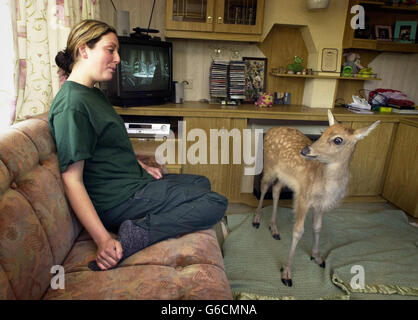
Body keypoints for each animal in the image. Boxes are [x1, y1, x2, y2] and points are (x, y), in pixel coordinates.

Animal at [253, 110, 380, 288]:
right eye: (323, 132)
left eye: (338, 139)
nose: (305, 150)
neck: (326, 185)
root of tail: (271, 130)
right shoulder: (304, 197)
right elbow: (298, 231)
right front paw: (286, 273)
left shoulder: (320, 205)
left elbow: (317, 227)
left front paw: (317, 257)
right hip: (269, 166)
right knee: (265, 187)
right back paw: (257, 220)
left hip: (285, 177)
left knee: (276, 189)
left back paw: (274, 228)